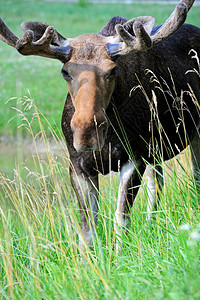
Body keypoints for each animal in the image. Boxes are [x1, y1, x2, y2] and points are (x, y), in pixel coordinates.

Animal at [0, 0, 200, 253]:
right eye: (65, 71)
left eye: (113, 69)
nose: (87, 131)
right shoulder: (77, 165)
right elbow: (87, 228)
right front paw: (89, 260)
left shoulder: (134, 157)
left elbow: (121, 218)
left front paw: (119, 255)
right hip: (154, 150)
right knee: (157, 184)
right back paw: (151, 224)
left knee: (193, 176)